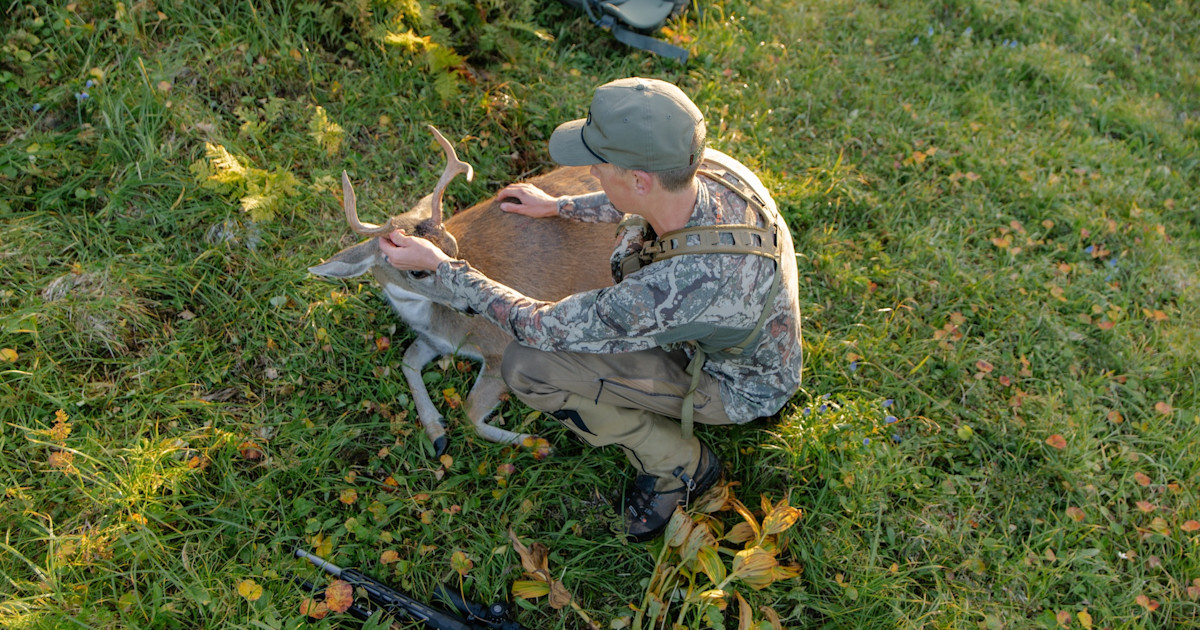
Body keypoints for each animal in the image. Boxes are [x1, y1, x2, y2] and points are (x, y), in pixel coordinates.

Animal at [309, 126, 614, 456]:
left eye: (453, 248)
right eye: (416, 271)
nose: (470, 307)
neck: (441, 325)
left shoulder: (502, 345)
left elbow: (469, 414)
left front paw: (538, 444)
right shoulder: (436, 341)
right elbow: (408, 359)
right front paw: (436, 433)